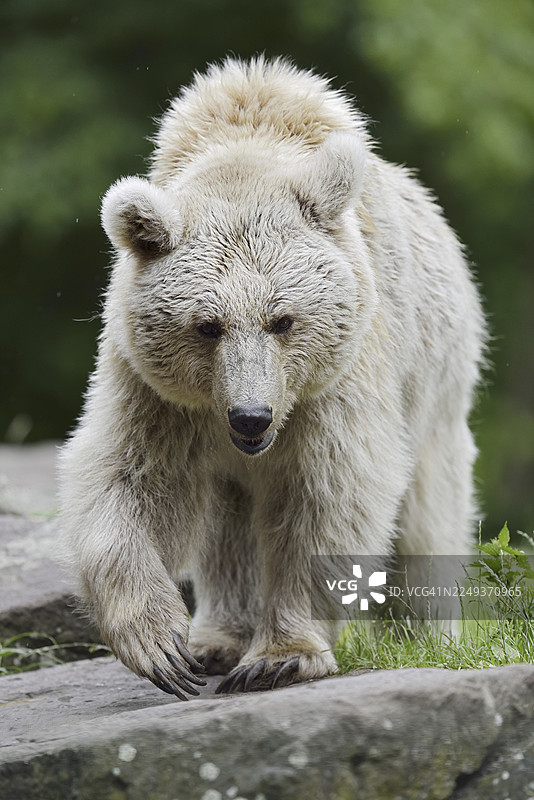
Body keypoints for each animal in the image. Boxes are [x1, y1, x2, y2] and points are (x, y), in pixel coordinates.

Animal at [59, 56, 486, 698]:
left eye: (283, 319)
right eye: (207, 325)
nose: (251, 417)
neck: (246, 142)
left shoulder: (339, 374)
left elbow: (330, 492)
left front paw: (282, 655)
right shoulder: (155, 388)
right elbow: (129, 476)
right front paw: (161, 645)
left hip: (434, 385)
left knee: (428, 519)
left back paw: (428, 637)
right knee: (226, 528)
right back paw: (216, 640)